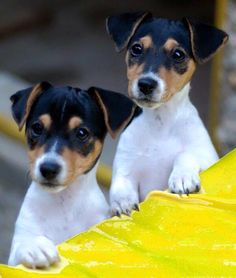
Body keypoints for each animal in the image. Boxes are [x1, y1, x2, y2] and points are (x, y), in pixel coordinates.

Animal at [8, 81, 136, 268]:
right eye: (37, 128)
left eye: (82, 133)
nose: (48, 168)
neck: (63, 203)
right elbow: (23, 246)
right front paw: (34, 246)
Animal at [107, 11, 229, 216]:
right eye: (136, 49)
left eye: (178, 54)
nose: (146, 84)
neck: (160, 122)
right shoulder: (126, 164)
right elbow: (120, 183)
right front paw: (122, 201)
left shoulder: (208, 157)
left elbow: (185, 154)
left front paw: (182, 177)